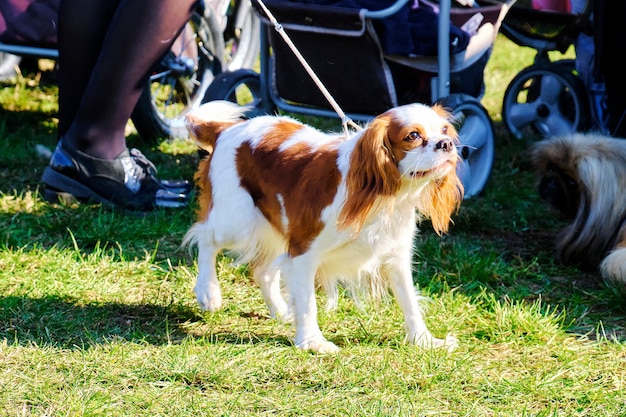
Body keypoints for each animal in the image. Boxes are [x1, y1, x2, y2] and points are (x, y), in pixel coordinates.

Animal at [183, 101, 460, 352]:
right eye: (412, 136)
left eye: (445, 130)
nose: (446, 144)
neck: (385, 196)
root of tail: (226, 129)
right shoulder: (303, 250)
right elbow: (308, 303)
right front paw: (312, 343)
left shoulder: (396, 256)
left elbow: (409, 301)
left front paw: (424, 341)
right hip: (236, 220)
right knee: (206, 237)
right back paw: (208, 293)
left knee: (263, 272)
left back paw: (282, 312)